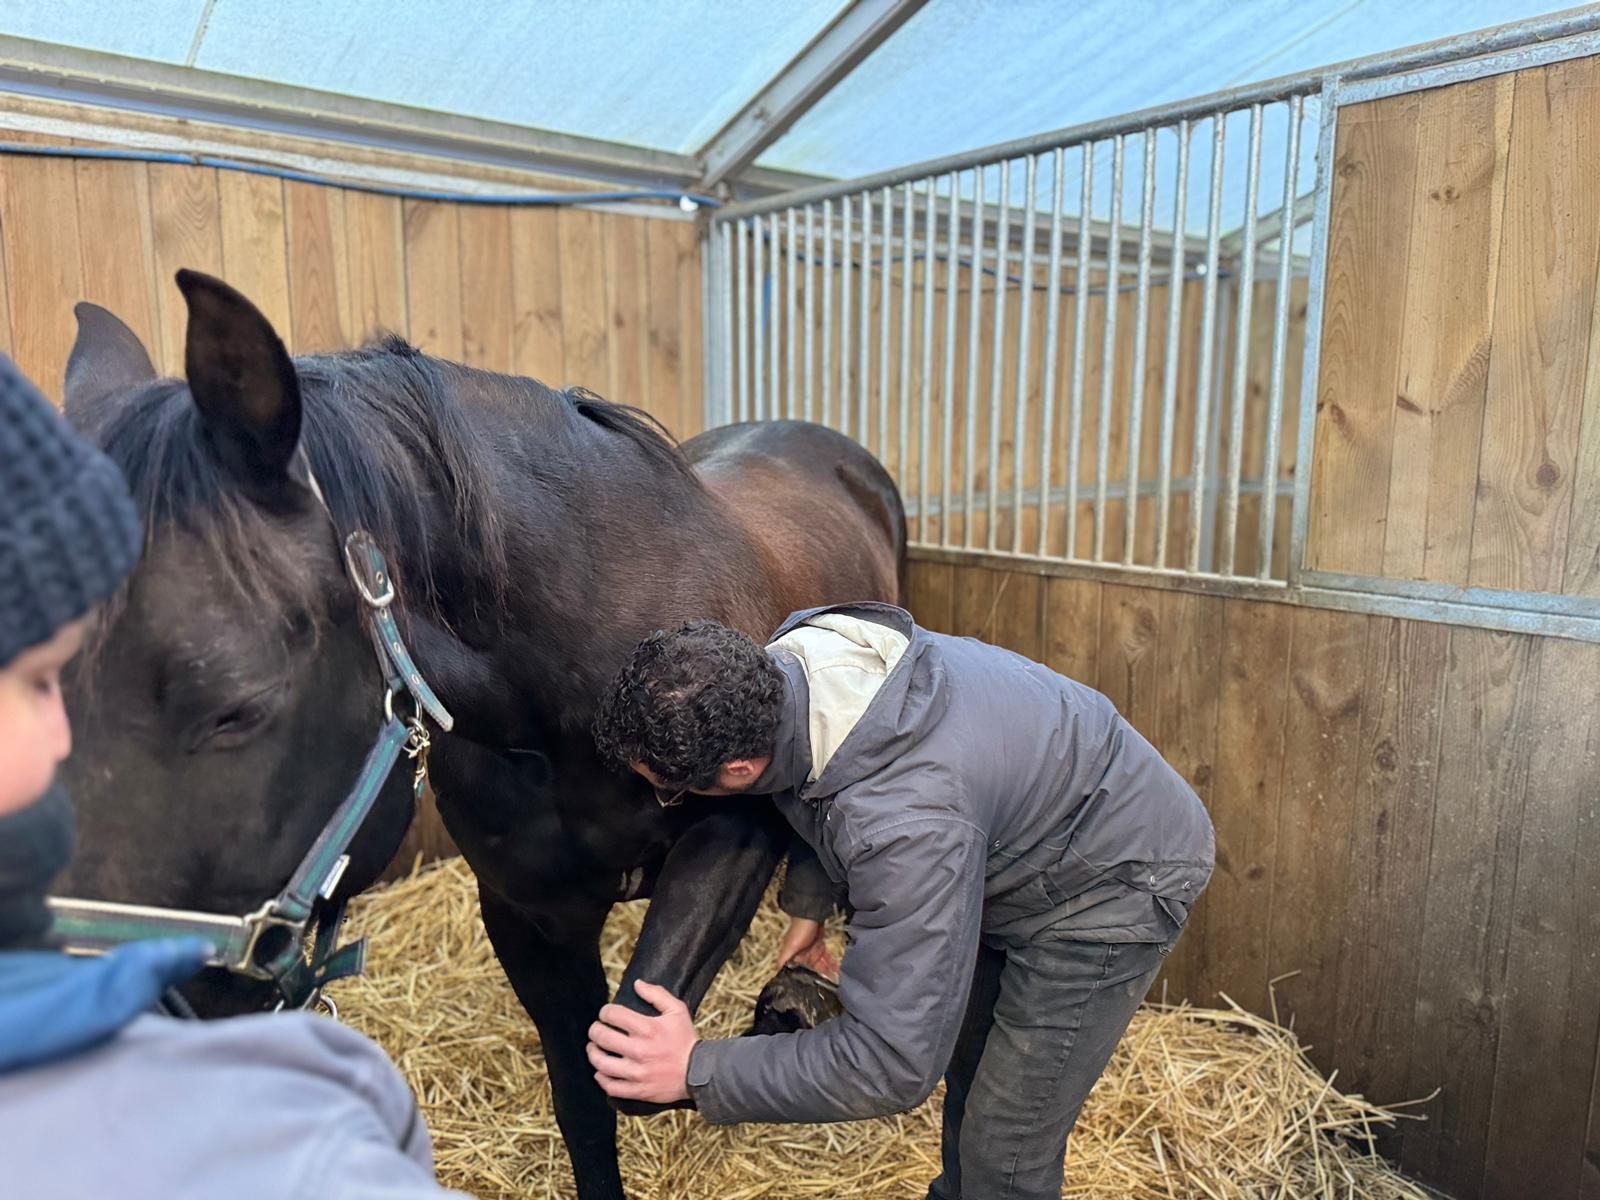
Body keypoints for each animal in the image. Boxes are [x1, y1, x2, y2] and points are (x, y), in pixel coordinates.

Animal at [59, 272, 902, 1200]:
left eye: (236, 703)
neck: (579, 683)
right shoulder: (528, 913)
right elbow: (587, 1095)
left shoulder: (733, 836)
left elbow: (637, 1056)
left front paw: (790, 1009)